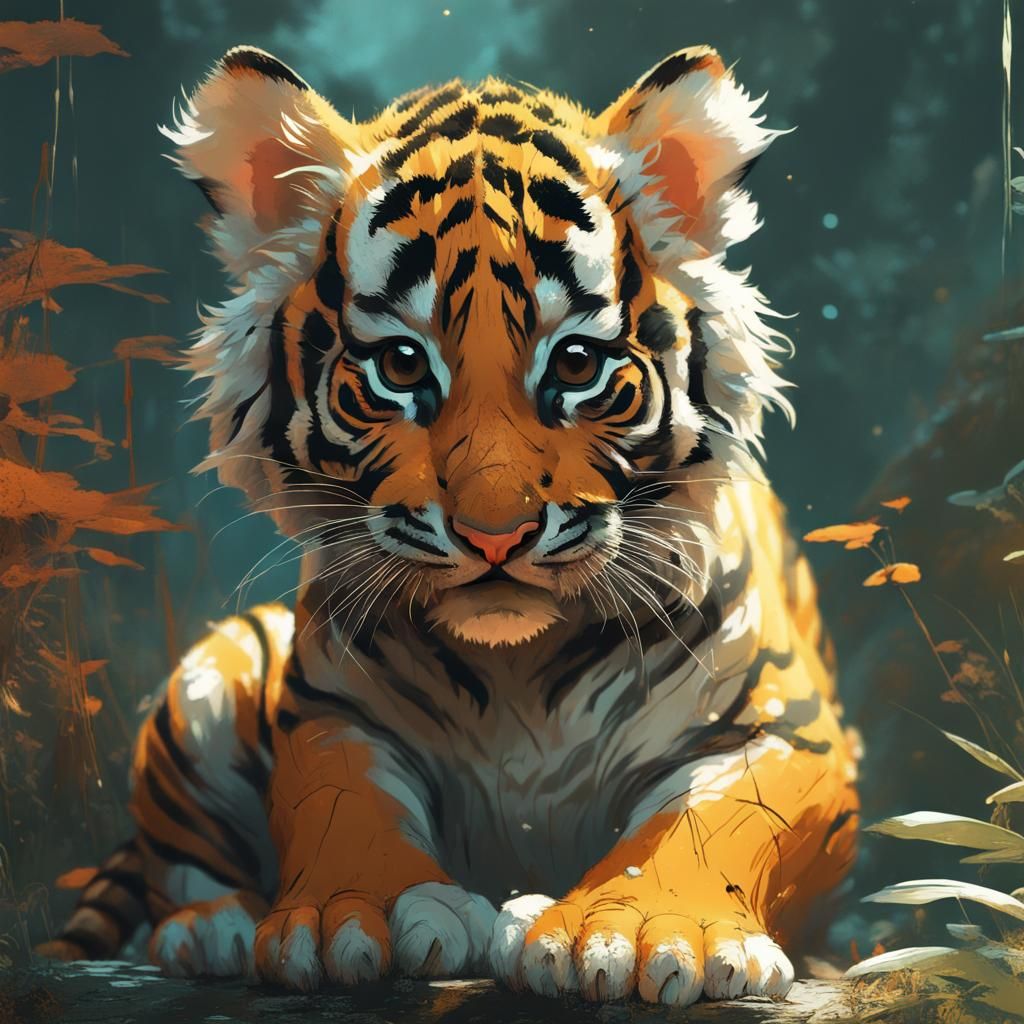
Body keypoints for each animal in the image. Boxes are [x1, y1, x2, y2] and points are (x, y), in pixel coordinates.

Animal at [39, 44, 859, 1005]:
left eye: (575, 364)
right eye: (400, 365)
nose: (495, 534)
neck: (520, 672)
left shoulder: (783, 730)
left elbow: (711, 818)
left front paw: (636, 932)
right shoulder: (331, 711)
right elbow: (340, 805)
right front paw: (357, 921)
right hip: (214, 672)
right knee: (182, 869)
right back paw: (215, 929)